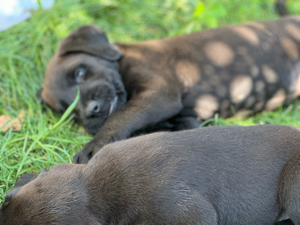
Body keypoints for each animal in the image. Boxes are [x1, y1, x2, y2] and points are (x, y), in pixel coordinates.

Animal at [38, 15, 300, 163]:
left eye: (80, 72)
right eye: (69, 113)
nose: (91, 110)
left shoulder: (160, 92)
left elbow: (119, 117)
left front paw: (95, 146)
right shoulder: (186, 118)